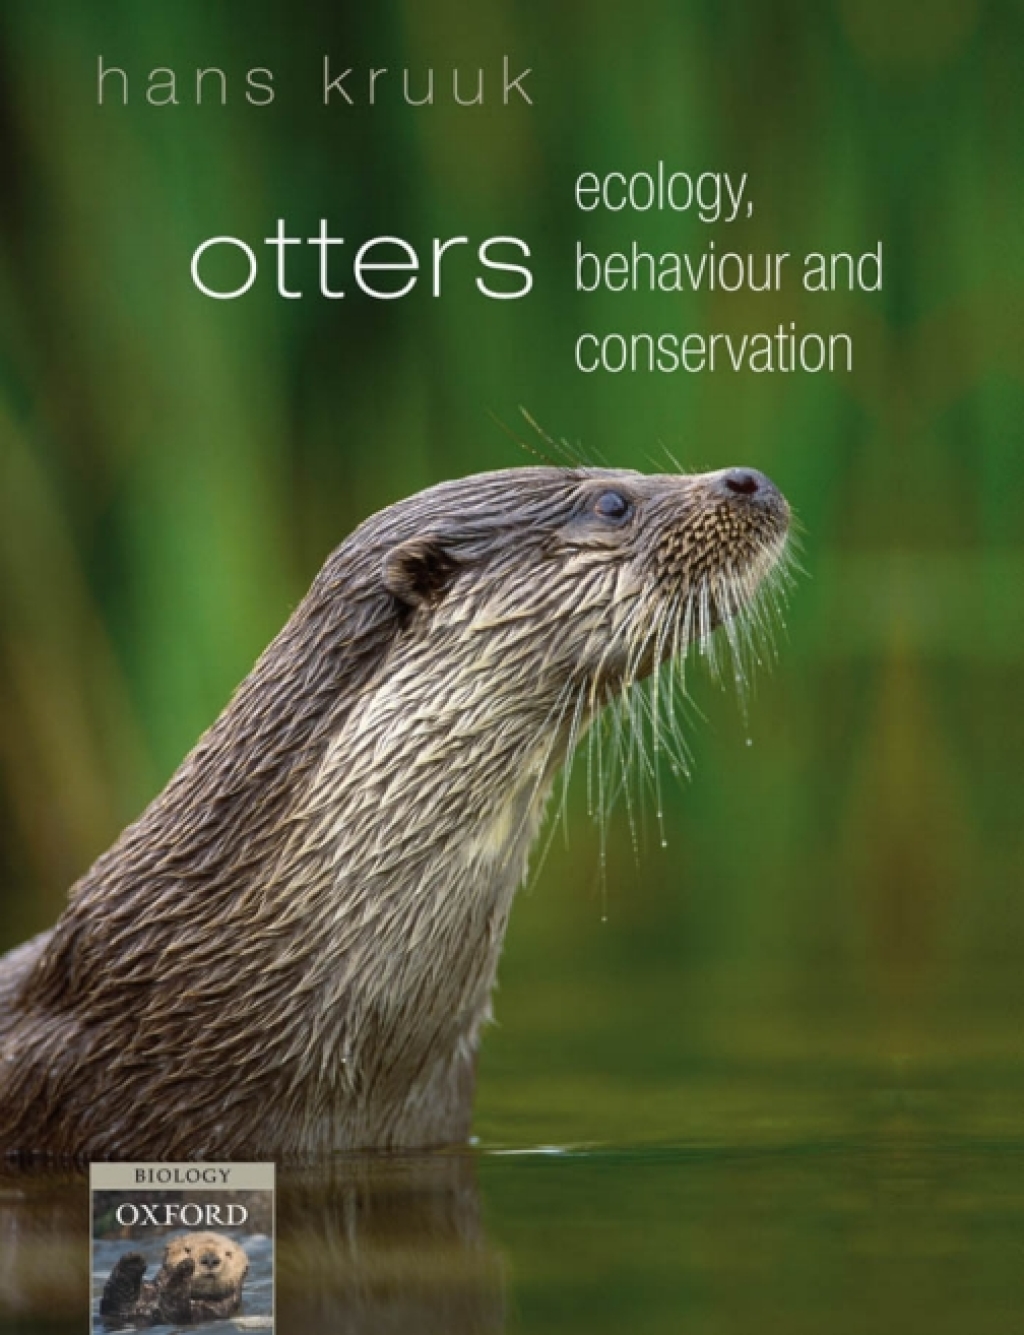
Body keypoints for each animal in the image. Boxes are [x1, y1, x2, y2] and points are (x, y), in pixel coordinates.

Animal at [99, 1230, 248, 1328]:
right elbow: (116, 1298)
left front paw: (184, 1269)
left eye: (228, 1253)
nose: (210, 1259)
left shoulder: (209, 1311)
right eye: (187, 1249)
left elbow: (174, 1308)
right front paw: (133, 1260)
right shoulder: (119, 1307)